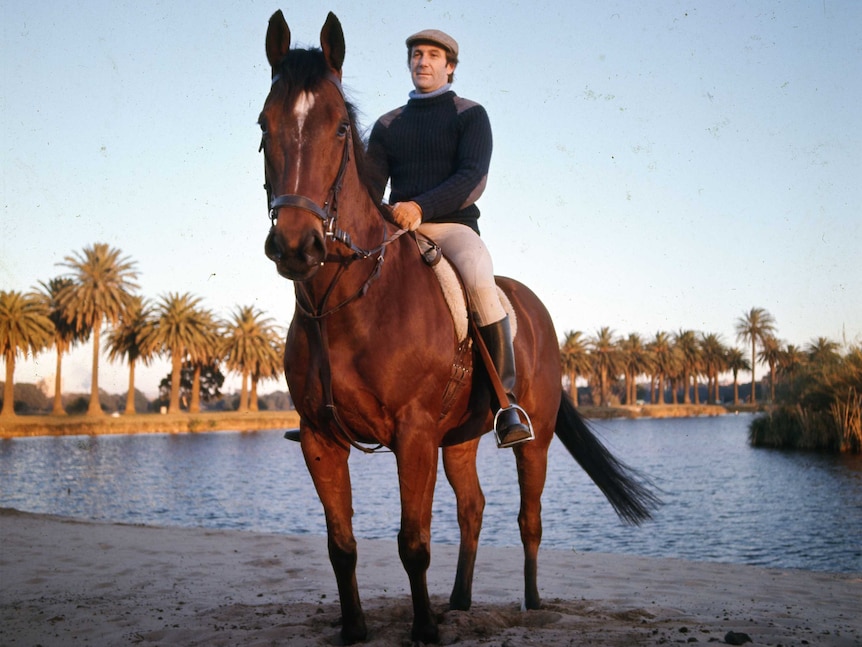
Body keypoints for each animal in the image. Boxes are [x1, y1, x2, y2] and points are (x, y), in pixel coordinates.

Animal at [260, 10, 660, 644]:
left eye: (340, 129)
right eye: (264, 124)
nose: (297, 246)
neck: (350, 305)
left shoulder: (414, 436)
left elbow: (414, 543)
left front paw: (424, 630)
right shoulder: (322, 440)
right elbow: (341, 545)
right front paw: (355, 628)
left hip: (534, 440)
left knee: (528, 519)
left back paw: (530, 602)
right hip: (462, 439)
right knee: (473, 509)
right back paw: (461, 600)